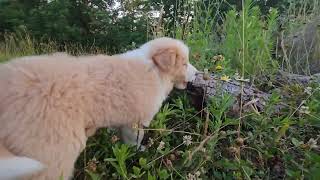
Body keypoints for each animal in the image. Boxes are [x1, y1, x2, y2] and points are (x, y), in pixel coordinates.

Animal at [0, 37, 198, 179]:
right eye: (184, 63)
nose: (199, 74)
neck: (154, 70)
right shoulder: (134, 121)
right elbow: (134, 139)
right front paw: (137, 151)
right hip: (52, 150)